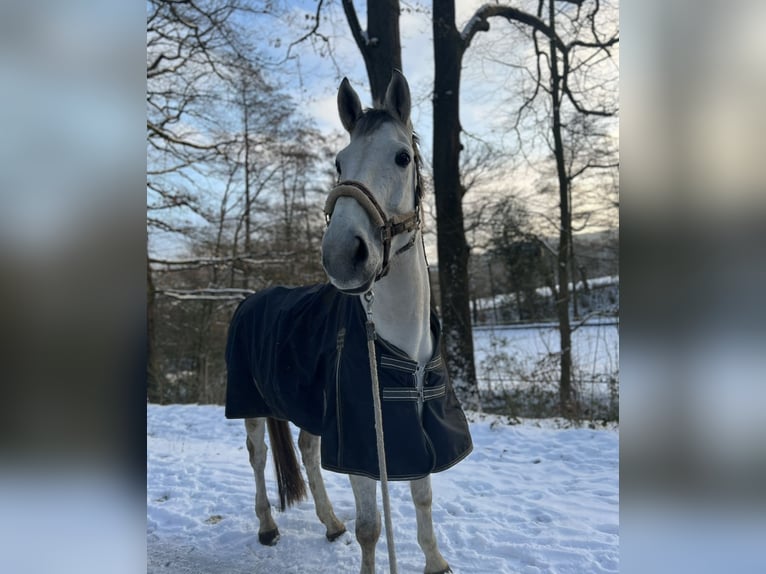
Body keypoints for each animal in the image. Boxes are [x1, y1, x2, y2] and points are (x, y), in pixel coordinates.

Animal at [224, 71, 474, 574]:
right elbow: (371, 528)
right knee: (258, 457)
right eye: (339, 163)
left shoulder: (409, 428)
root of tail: (250, 299)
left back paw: (329, 522)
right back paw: (267, 527)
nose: (342, 254)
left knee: (306, 451)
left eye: (402, 157)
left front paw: (435, 561)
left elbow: (422, 497)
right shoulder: (361, 444)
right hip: (250, 405)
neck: (402, 344)